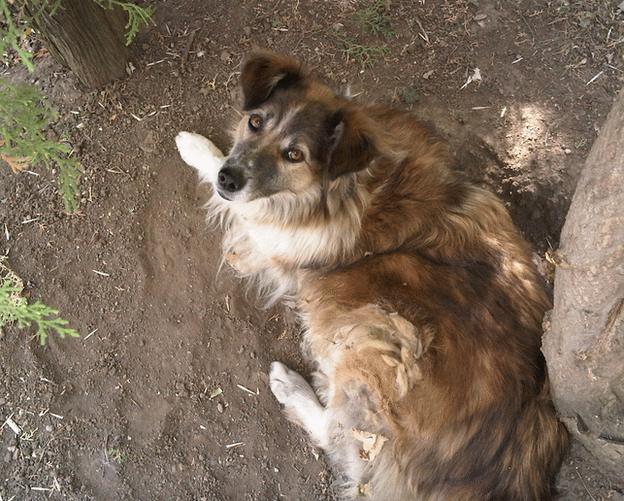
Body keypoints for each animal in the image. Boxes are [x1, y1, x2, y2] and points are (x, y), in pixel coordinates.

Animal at [176, 50, 572, 500]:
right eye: (256, 122)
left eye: (295, 155)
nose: (229, 178)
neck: (348, 186)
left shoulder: (274, 237)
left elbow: (240, 204)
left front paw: (196, 148)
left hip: (380, 330)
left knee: (343, 438)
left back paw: (291, 386)